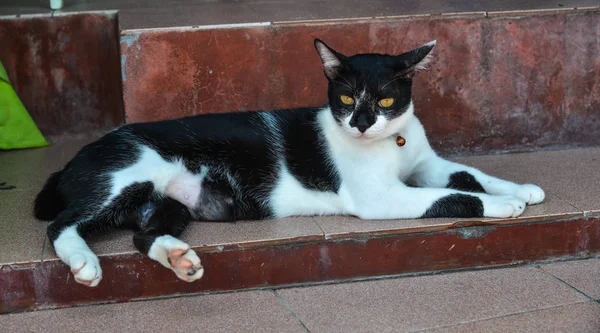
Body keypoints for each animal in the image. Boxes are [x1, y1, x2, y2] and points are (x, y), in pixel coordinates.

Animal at [35, 39, 548, 286]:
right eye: (346, 97)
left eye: (385, 99)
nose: (361, 124)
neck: (393, 142)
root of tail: (75, 158)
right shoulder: (380, 197)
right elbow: (451, 195)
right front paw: (503, 206)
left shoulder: (427, 162)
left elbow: (468, 173)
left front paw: (521, 189)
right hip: (124, 177)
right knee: (62, 224)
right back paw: (84, 262)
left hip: (170, 204)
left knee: (143, 234)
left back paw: (179, 259)